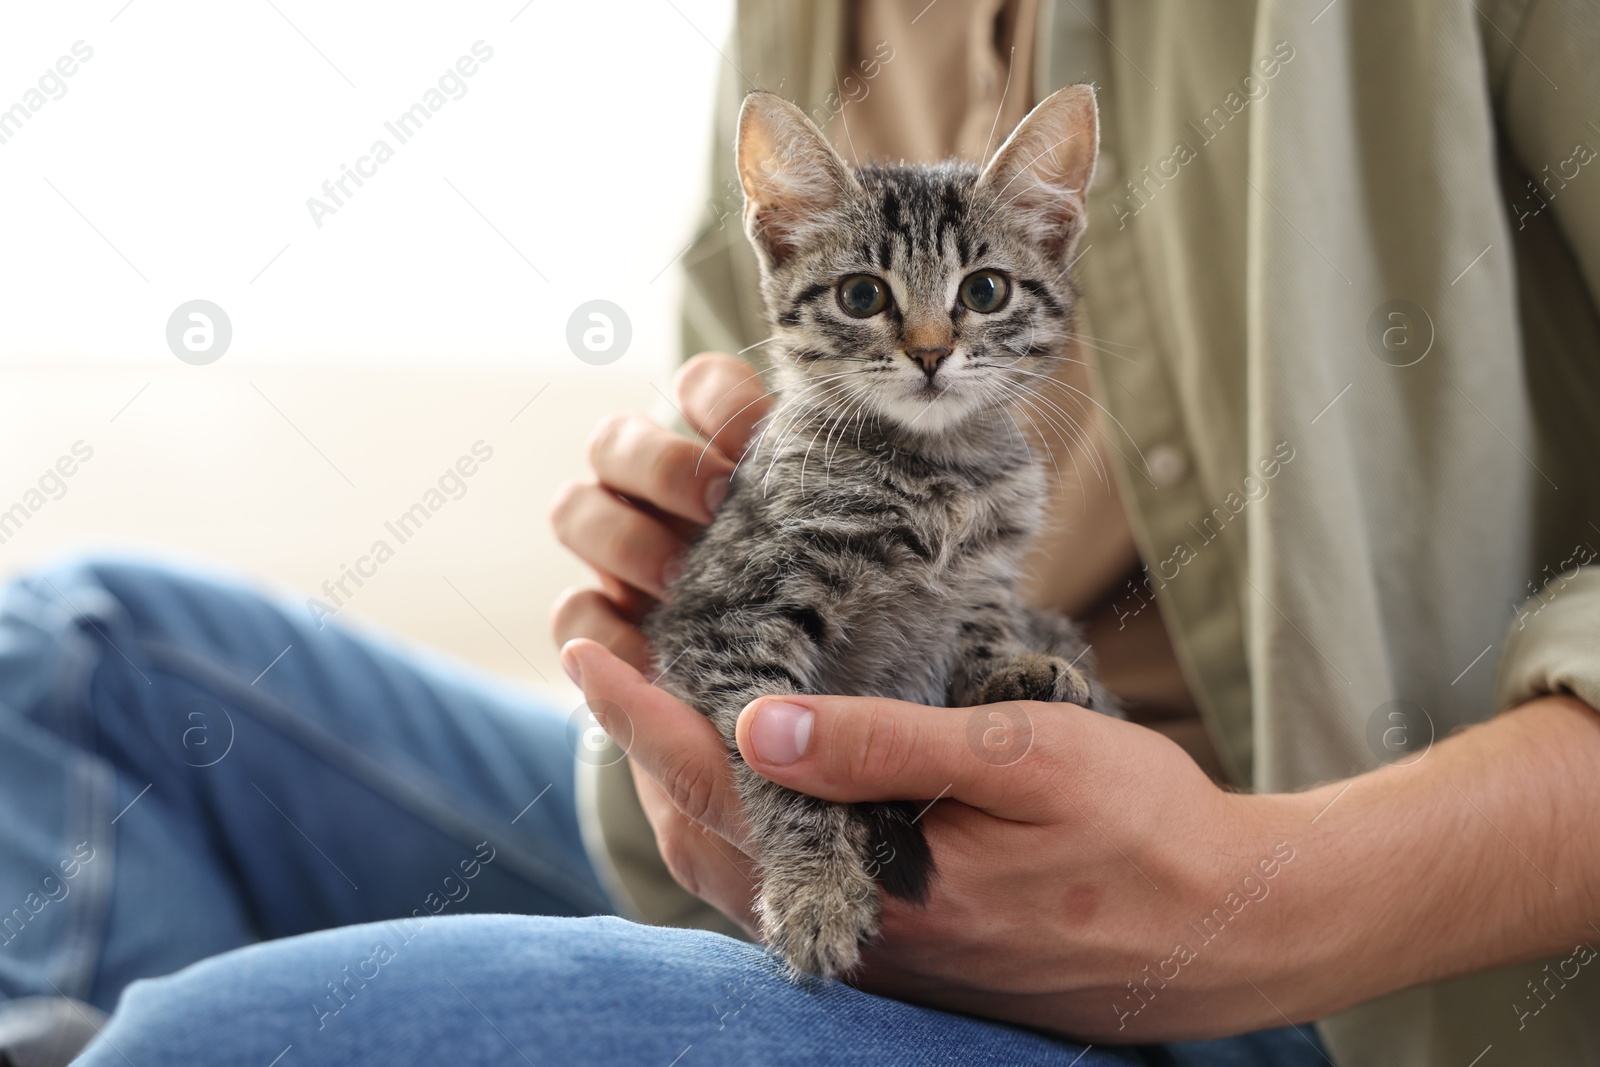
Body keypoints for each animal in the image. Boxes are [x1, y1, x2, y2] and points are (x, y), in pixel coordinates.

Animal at [643, 83, 1120, 979]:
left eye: (985, 290)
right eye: (862, 296)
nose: (931, 353)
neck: (935, 479)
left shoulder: (986, 577)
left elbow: (982, 633)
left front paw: (1012, 669)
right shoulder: (723, 618)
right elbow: (783, 756)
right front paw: (816, 889)